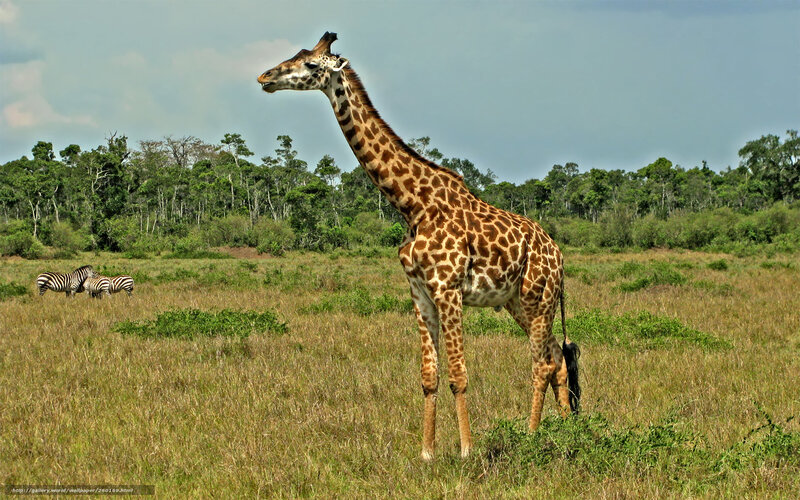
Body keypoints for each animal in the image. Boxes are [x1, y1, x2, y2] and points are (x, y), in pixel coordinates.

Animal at [257, 32, 581, 461]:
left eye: (310, 64)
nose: (265, 77)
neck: (412, 205)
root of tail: (558, 254)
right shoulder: (419, 292)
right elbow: (429, 375)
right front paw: (426, 452)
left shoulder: (448, 288)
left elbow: (458, 373)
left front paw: (466, 449)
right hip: (516, 301)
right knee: (557, 357)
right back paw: (564, 430)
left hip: (537, 297)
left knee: (541, 363)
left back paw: (530, 435)